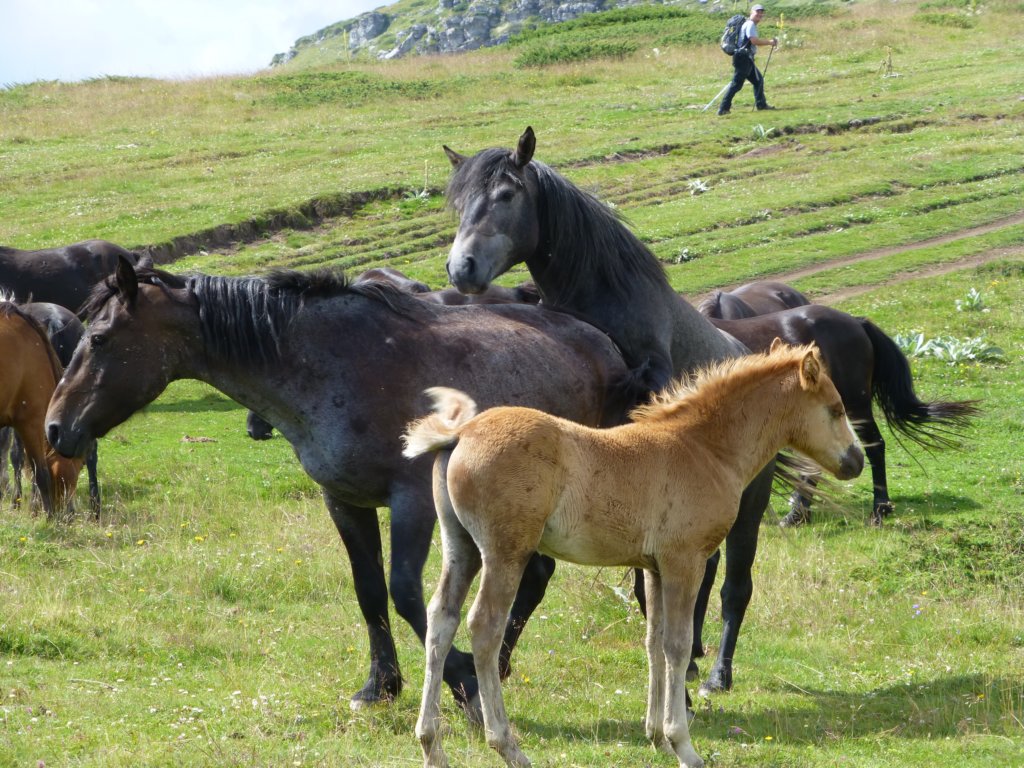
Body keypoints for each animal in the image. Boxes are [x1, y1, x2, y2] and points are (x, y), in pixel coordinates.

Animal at [45, 256, 640, 713]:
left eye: (98, 338)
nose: (55, 427)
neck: (336, 364)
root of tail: (602, 342)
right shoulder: (345, 501)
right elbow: (369, 590)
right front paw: (382, 686)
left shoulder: (411, 501)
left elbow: (405, 592)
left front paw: (462, 681)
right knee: (534, 576)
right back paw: (499, 664)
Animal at [405, 343, 863, 768]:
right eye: (836, 409)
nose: (856, 461)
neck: (704, 450)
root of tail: (461, 433)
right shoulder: (685, 561)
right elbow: (678, 645)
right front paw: (683, 745)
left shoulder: (655, 568)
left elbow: (653, 642)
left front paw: (657, 736)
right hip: (505, 552)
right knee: (484, 627)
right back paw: (508, 746)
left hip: (461, 547)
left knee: (441, 620)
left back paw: (431, 745)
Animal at [443, 126, 782, 696]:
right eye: (458, 202)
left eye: (507, 195)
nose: (460, 269)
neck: (607, 299)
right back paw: (693, 658)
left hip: (750, 511)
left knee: (736, 586)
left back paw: (716, 674)